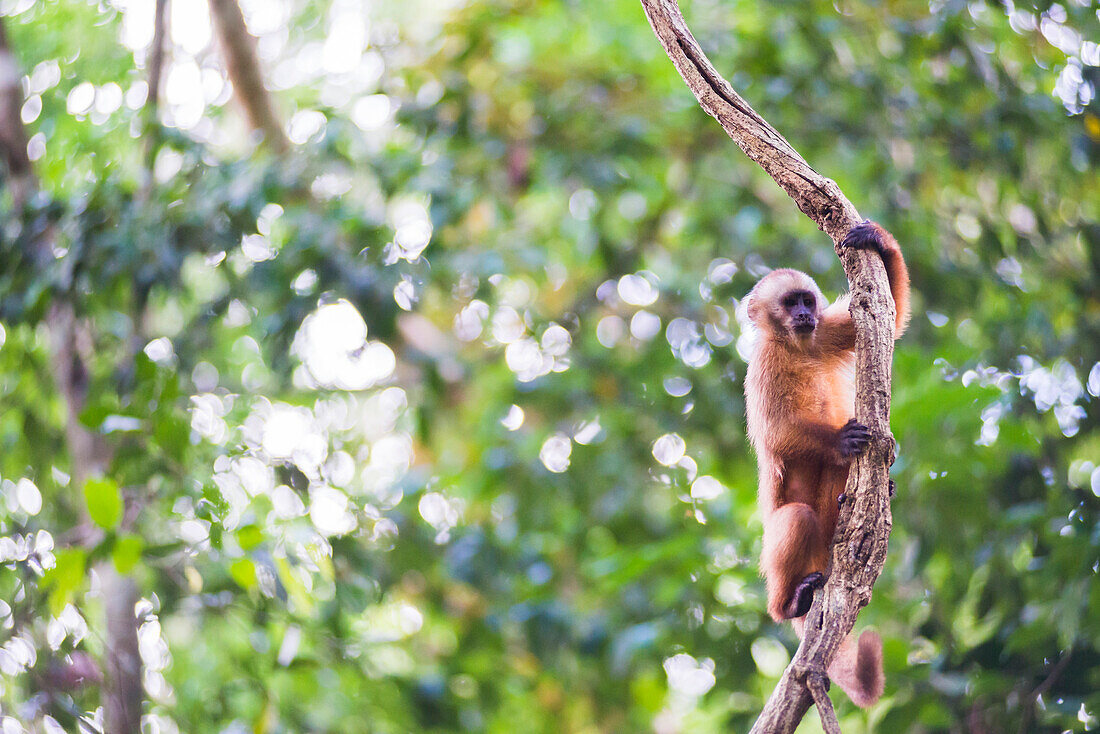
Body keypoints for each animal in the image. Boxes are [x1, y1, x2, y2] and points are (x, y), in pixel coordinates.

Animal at [748, 217, 910, 704]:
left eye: (806, 300)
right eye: (789, 303)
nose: (804, 314)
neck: (797, 345)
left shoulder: (823, 332)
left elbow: (889, 318)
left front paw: (877, 240)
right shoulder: (764, 361)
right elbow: (776, 434)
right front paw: (841, 439)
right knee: (797, 517)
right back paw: (788, 605)